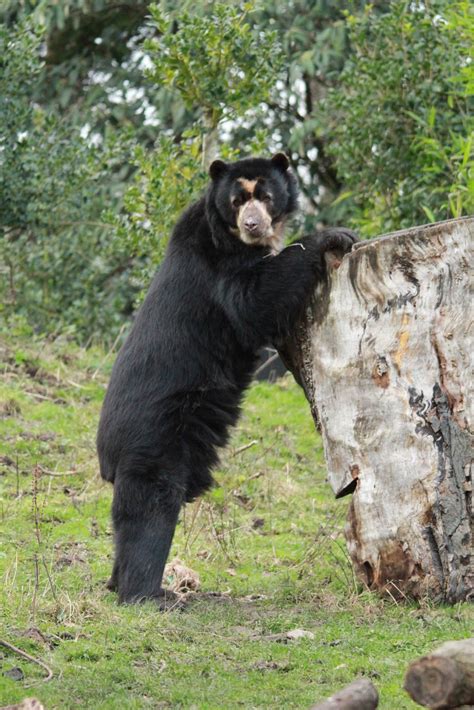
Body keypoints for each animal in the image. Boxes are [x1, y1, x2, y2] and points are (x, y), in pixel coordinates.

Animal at [95, 154, 356, 608]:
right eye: (237, 201)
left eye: (265, 196)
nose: (252, 224)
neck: (235, 239)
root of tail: (106, 455)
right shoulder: (218, 264)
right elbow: (252, 300)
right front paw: (335, 236)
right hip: (156, 440)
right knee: (150, 512)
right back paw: (149, 594)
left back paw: (120, 584)